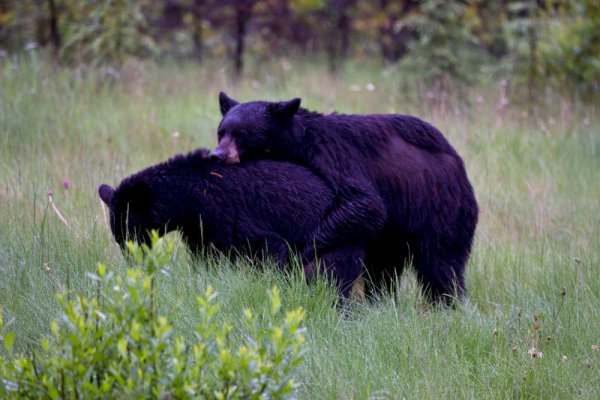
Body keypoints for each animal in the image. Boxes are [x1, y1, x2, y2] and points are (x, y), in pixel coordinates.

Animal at [97, 148, 366, 296]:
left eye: (131, 233)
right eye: (118, 238)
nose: (133, 264)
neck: (188, 198)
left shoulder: (227, 212)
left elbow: (269, 247)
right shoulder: (199, 229)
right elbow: (205, 258)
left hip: (335, 244)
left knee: (329, 275)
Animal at [211, 93, 478, 304]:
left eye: (241, 133)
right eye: (221, 131)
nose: (217, 155)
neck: (293, 144)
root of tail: (459, 165)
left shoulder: (333, 154)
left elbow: (366, 203)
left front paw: (302, 254)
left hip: (439, 205)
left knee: (441, 262)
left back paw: (447, 303)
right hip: (393, 233)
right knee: (383, 266)